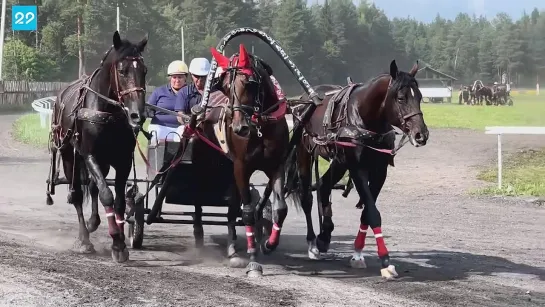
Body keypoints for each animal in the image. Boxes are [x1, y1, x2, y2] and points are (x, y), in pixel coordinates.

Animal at [47, 30, 148, 262]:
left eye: (144, 71)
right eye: (122, 70)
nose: (137, 115)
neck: (107, 111)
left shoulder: (122, 160)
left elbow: (118, 200)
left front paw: (120, 241)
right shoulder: (89, 154)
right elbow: (106, 195)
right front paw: (116, 240)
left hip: (103, 162)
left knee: (93, 186)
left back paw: (93, 222)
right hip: (69, 154)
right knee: (77, 192)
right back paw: (84, 239)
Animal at [284, 59, 430, 280]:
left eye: (420, 97)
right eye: (401, 97)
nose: (421, 134)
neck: (364, 119)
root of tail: (304, 101)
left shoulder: (379, 171)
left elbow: (367, 213)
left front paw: (358, 253)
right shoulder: (357, 168)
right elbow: (373, 212)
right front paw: (385, 260)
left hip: (339, 161)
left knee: (324, 185)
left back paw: (324, 235)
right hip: (304, 152)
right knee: (306, 196)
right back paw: (312, 243)